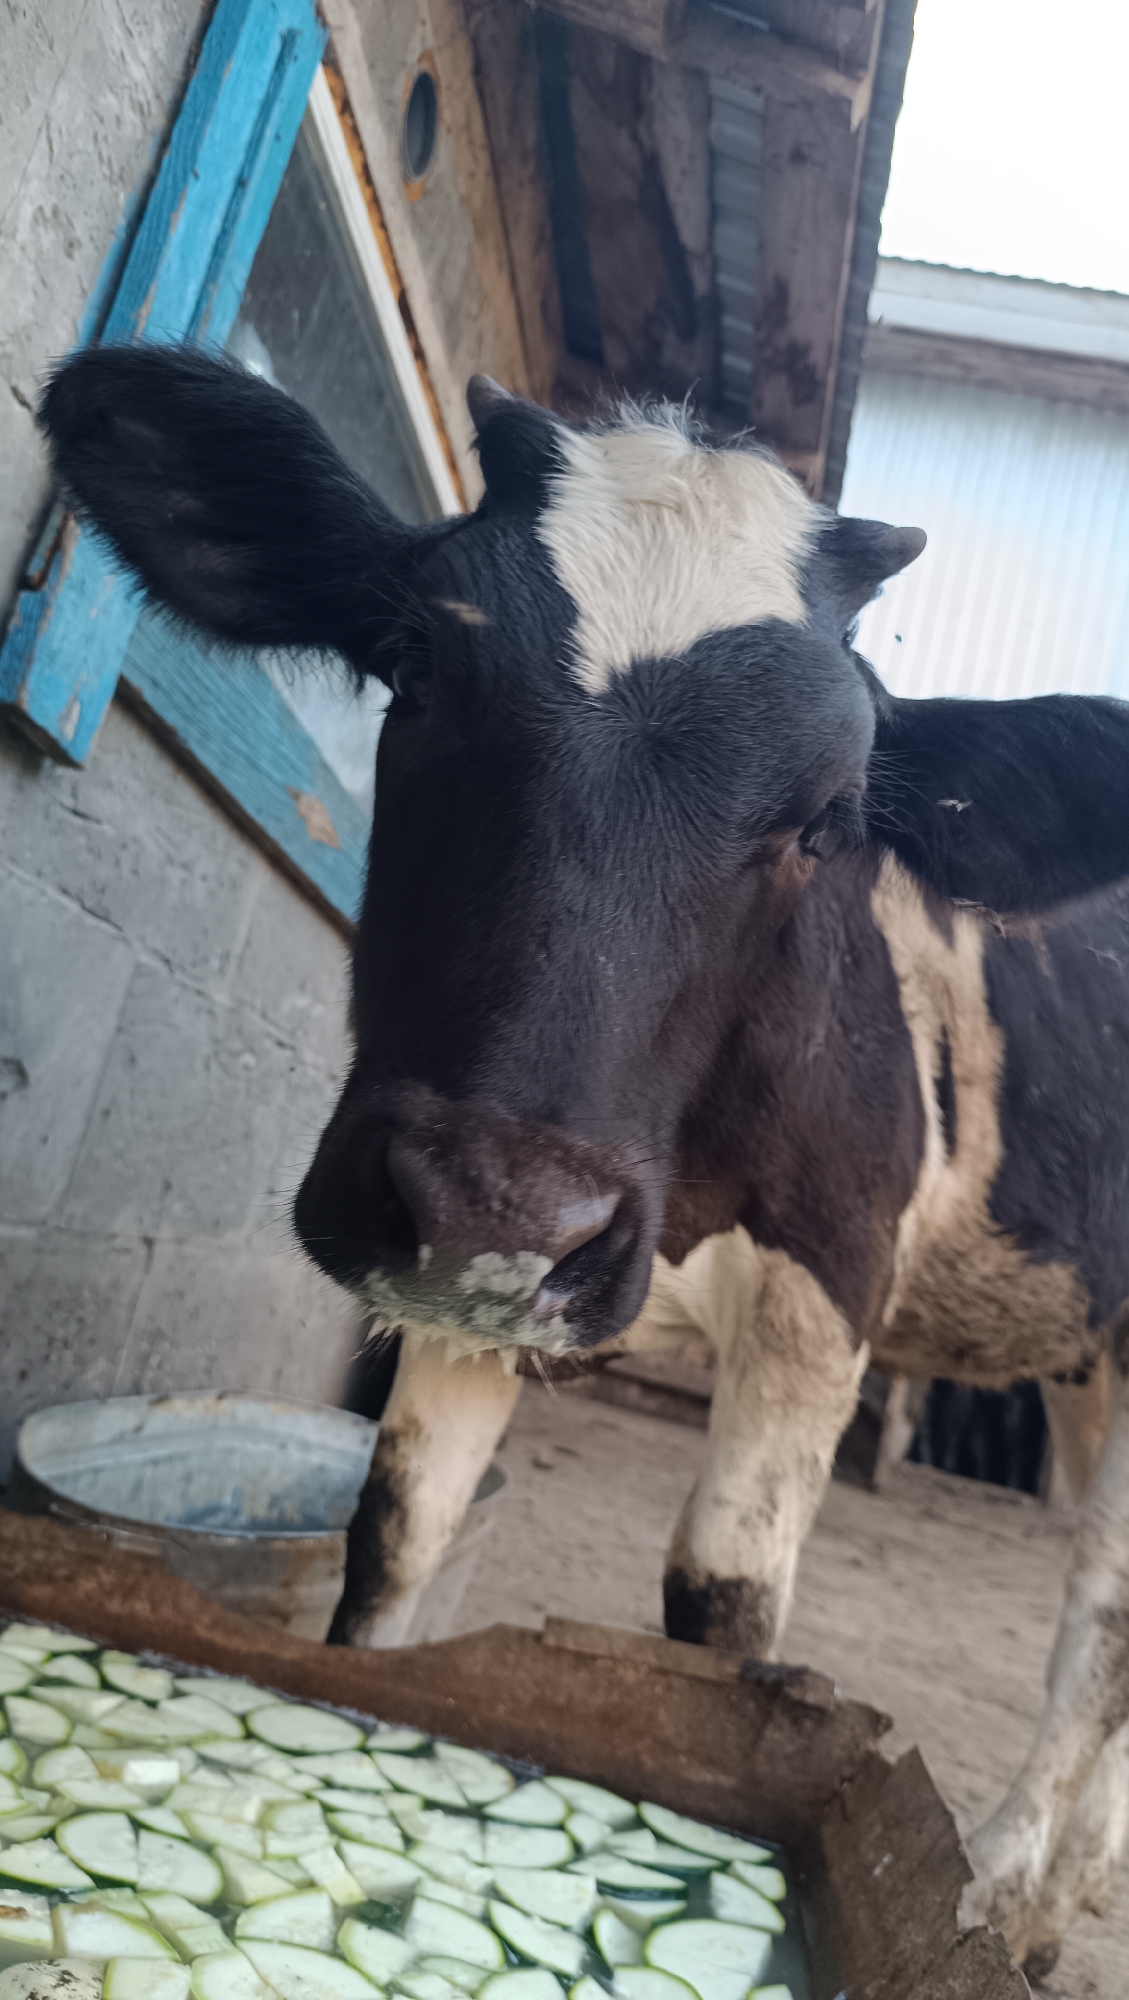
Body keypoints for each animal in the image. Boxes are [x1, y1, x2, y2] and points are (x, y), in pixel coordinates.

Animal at [40, 343, 1129, 1976]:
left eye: (829, 820)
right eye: (414, 670)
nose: (500, 1204)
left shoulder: (825, 1278)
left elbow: (720, 1608)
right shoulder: (461, 1290)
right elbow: (395, 1538)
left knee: (1098, 1625)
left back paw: (1009, 1886)